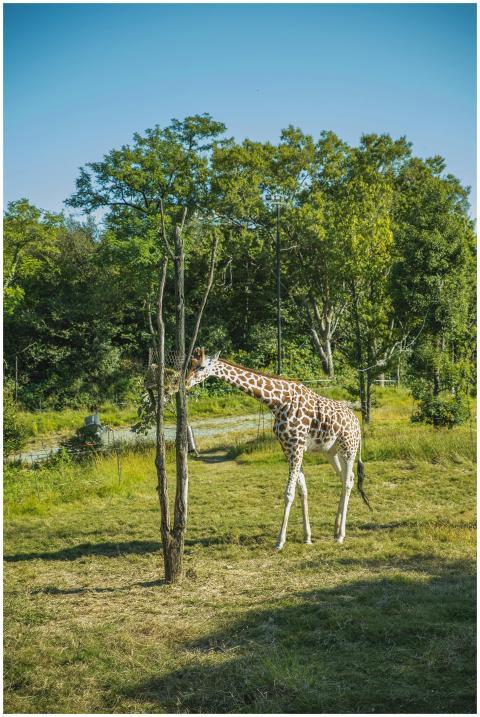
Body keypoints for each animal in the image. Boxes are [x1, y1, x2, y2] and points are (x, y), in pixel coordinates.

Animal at [184, 348, 371, 550]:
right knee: (345, 478)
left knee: (349, 481)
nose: (185, 383)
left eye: (202, 367)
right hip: (331, 451)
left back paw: (341, 535)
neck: (277, 402)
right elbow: (302, 490)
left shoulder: (296, 447)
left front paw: (279, 541)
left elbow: (288, 493)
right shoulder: (289, 448)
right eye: (190, 365)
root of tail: (357, 423)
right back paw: (335, 529)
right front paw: (307, 537)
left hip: (349, 448)